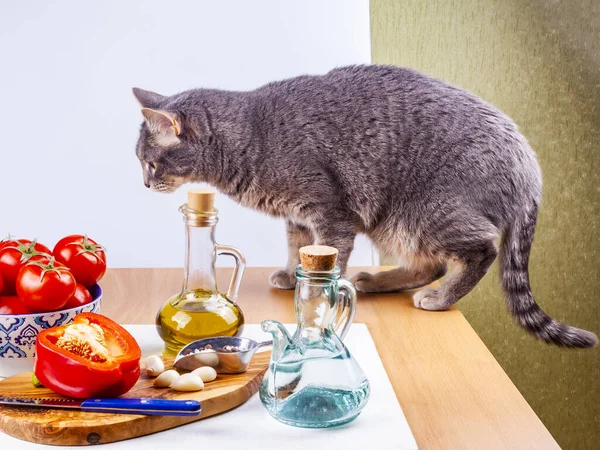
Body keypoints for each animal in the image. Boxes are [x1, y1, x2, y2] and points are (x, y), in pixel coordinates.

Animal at [134, 64, 596, 348]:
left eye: (150, 162)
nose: (145, 183)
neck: (253, 136)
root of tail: (530, 170)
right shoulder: (297, 216)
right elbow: (297, 247)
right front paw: (289, 273)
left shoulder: (330, 211)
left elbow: (329, 260)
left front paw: (319, 296)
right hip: (399, 224)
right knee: (431, 263)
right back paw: (380, 279)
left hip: (423, 212)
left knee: (480, 250)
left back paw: (439, 297)